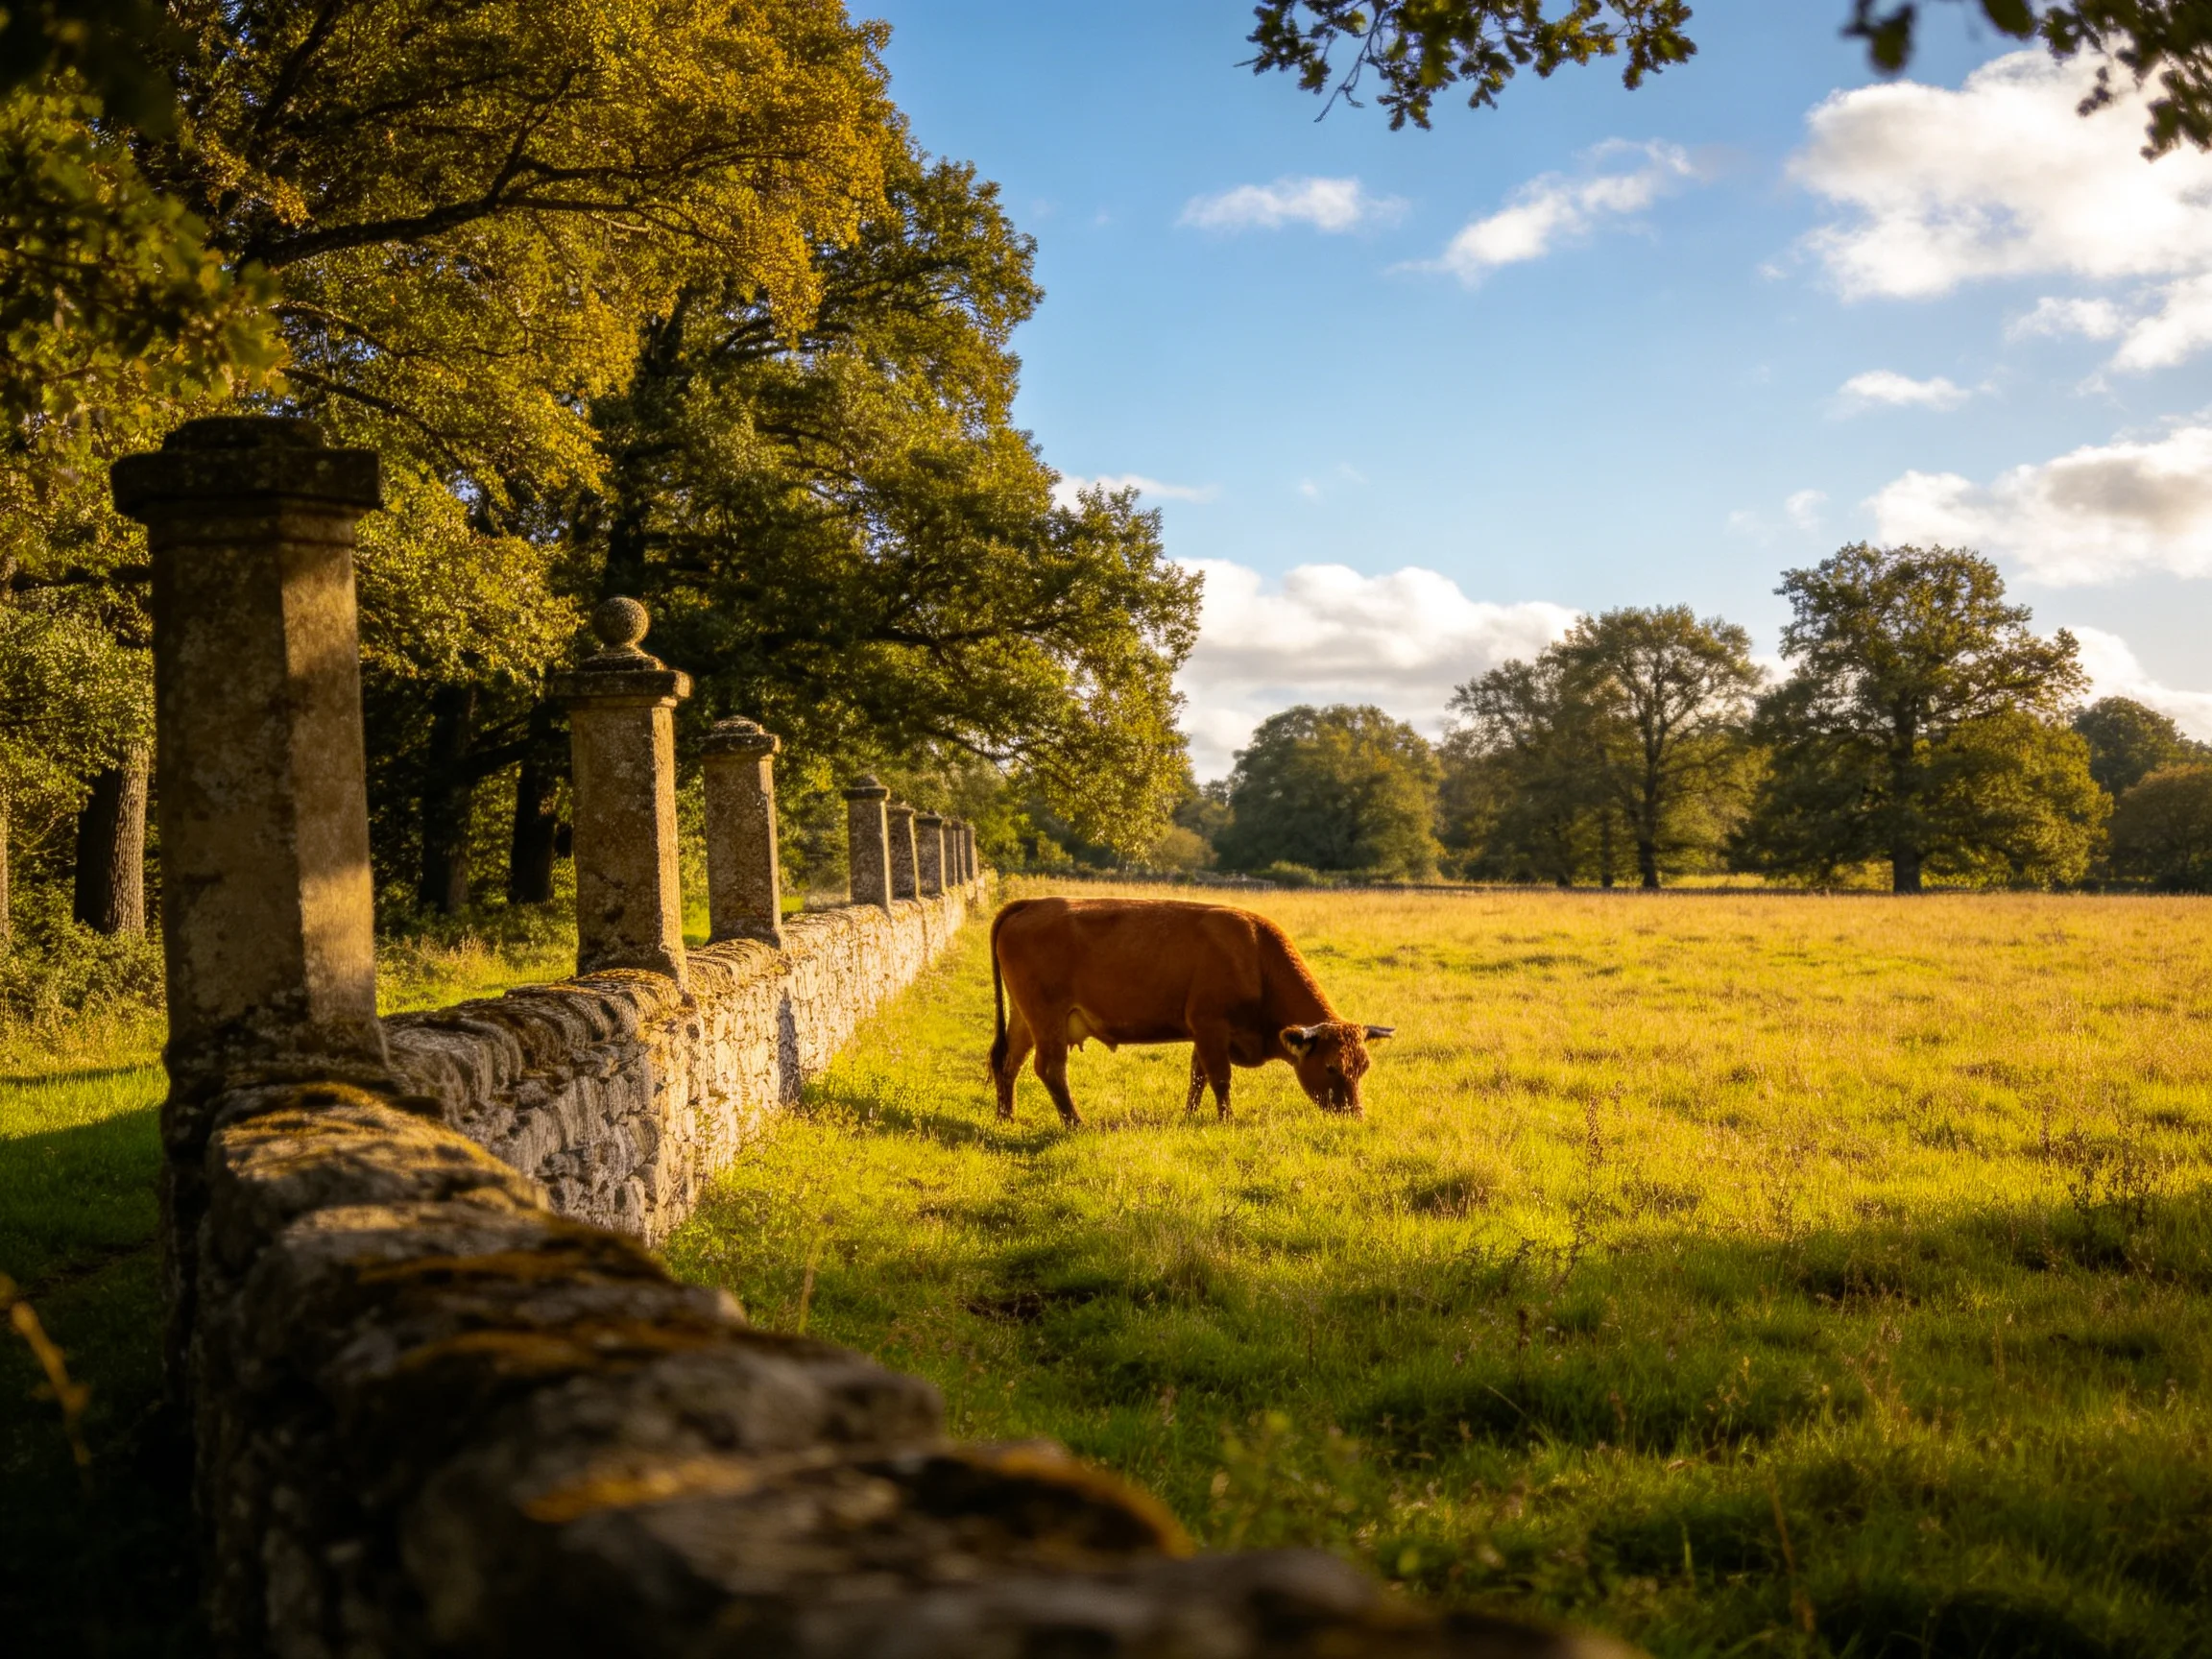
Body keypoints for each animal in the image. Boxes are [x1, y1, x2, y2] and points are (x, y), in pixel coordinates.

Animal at [987, 895, 1394, 1126]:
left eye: (1363, 1068)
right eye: (1331, 1067)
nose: (1356, 1117)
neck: (1254, 956)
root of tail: (1033, 903)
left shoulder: (1203, 1034)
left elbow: (1197, 1077)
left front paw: (1190, 1115)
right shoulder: (1210, 1027)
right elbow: (1220, 1078)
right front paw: (1226, 1120)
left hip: (1025, 1019)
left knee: (1009, 1062)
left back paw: (1007, 1117)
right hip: (1048, 1020)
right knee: (1051, 1069)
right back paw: (1075, 1122)